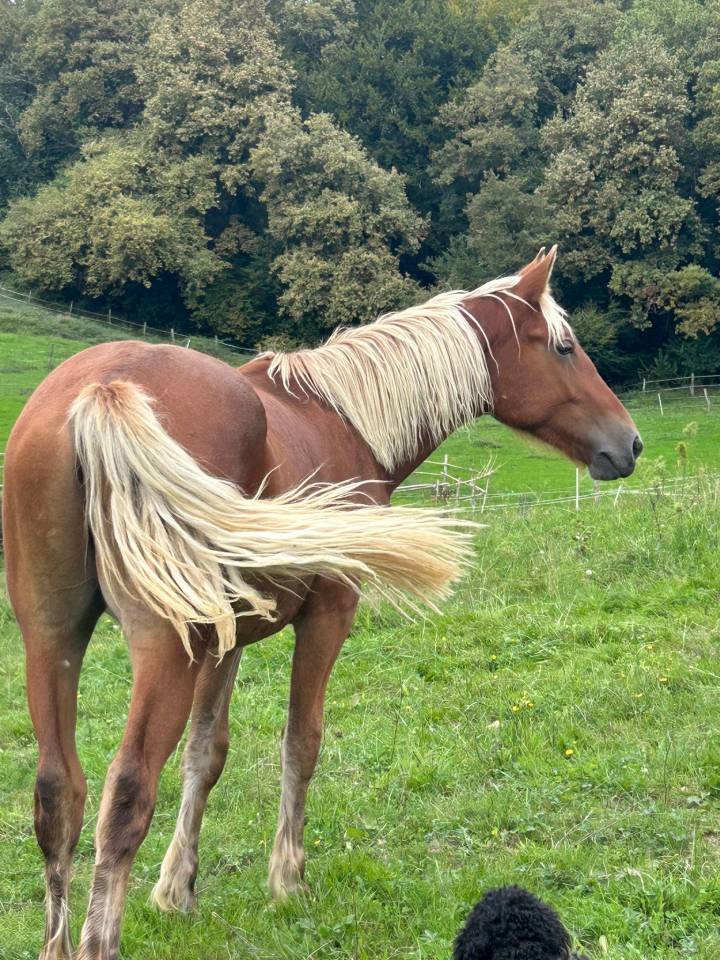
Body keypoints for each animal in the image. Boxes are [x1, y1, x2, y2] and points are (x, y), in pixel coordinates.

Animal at [2, 246, 642, 960]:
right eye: (564, 347)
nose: (630, 443)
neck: (342, 417)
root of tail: (104, 388)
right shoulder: (329, 615)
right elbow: (301, 741)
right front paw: (288, 880)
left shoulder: (227, 642)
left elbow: (206, 753)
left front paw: (176, 891)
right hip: (163, 649)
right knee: (126, 793)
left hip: (52, 638)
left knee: (59, 794)